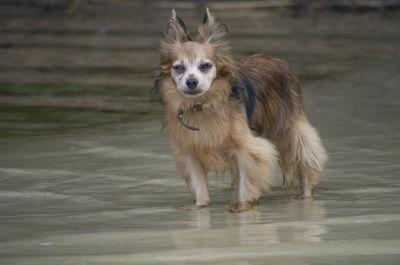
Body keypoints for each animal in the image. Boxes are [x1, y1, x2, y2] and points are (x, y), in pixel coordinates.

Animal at [155, 8, 326, 211]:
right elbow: (199, 186)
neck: (202, 104)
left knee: (305, 158)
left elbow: (247, 181)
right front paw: (200, 206)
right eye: (179, 68)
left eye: (205, 66)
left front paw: (242, 206)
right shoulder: (190, 151)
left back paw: (305, 196)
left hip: (292, 129)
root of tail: (277, 61)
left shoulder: (247, 148)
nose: (191, 82)